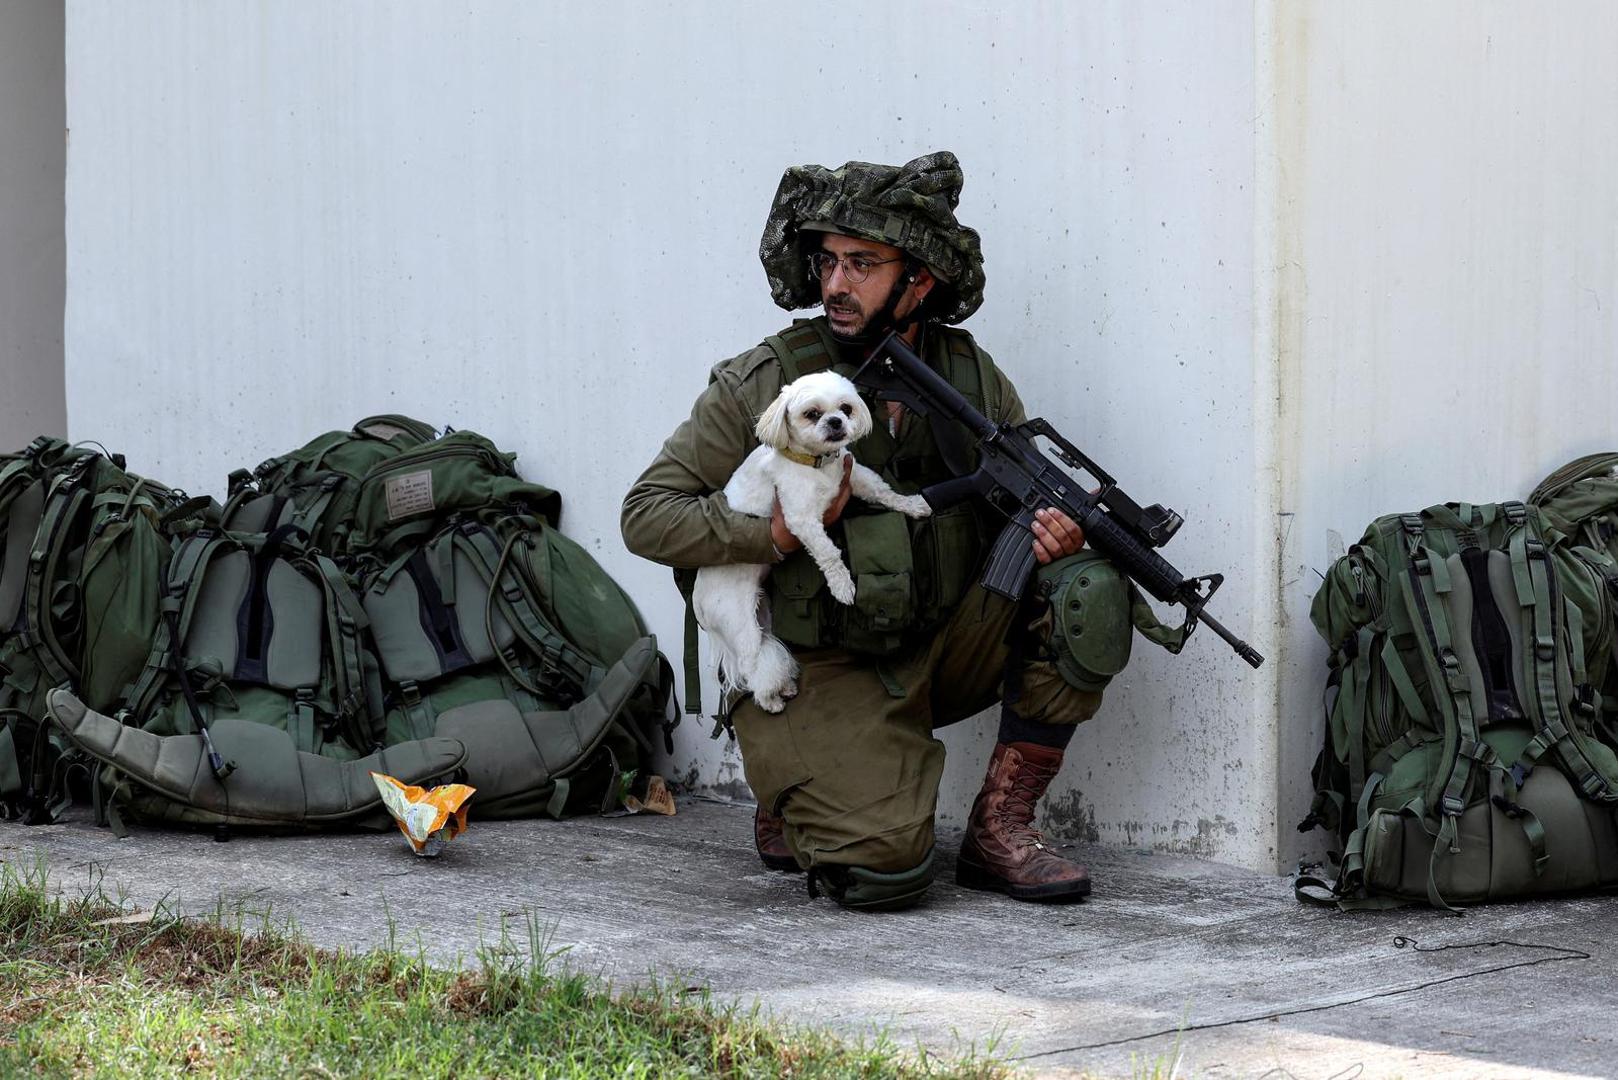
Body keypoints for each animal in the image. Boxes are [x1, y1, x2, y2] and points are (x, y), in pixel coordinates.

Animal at [695, 367, 938, 712]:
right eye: (812, 414)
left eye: (846, 408)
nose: (836, 422)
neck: (817, 463)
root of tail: (698, 604)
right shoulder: (801, 518)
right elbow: (828, 553)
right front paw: (842, 585)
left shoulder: (853, 476)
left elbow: (884, 492)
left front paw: (913, 504)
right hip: (738, 623)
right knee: (751, 665)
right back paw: (769, 701)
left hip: (762, 617)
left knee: (769, 656)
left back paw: (782, 688)